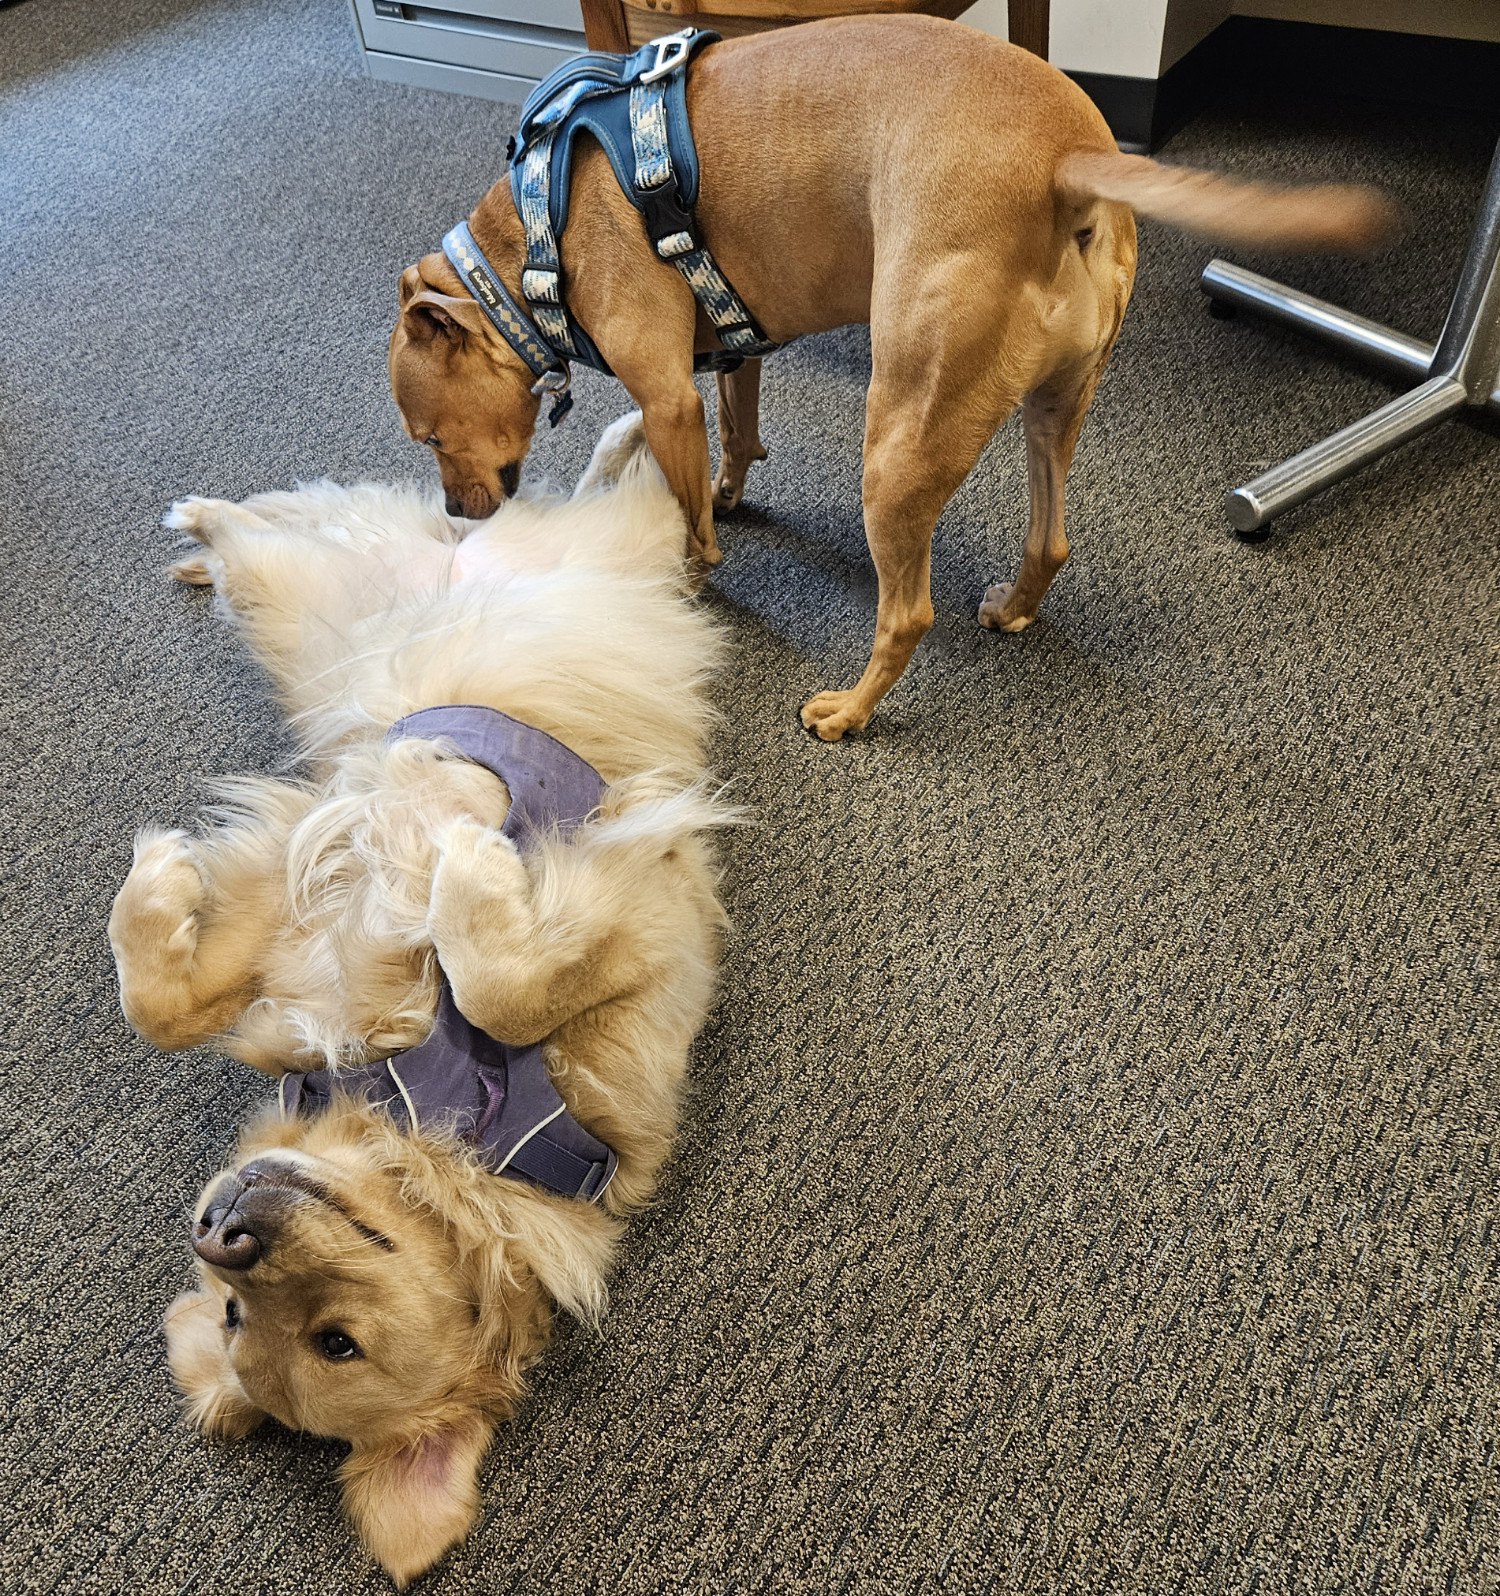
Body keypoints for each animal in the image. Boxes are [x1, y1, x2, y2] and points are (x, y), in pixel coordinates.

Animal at [108, 411, 730, 1583]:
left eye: (334, 1341)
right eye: (231, 1315)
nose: (223, 1227)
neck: (438, 1121)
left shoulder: (653, 947)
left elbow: (508, 988)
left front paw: (470, 866)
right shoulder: (291, 904)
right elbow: (170, 1006)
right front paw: (161, 879)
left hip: (609, 552)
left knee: (634, 488)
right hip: (303, 600)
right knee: (280, 523)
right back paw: (201, 524)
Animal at [386, 15, 1391, 737]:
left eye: (428, 436)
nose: (460, 514)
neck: (531, 238)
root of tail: (1065, 162)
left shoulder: (667, 399)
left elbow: (688, 520)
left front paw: (690, 576)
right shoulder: (735, 353)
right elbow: (738, 432)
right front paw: (730, 489)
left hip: (900, 442)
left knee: (907, 612)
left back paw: (850, 711)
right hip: (1052, 409)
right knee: (1050, 538)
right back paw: (1013, 606)